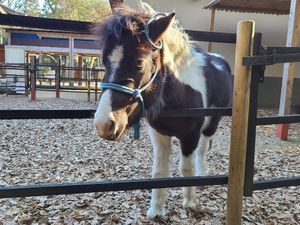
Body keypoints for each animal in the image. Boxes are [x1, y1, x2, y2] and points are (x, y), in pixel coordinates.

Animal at [94, 2, 232, 219]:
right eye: (104, 61)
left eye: (139, 63)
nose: (104, 125)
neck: (178, 96)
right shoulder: (159, 135)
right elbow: (159, 172)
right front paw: (156, 210)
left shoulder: (190, 137)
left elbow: (186, 169)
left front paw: (190, 203)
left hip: (211, 125)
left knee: (202, 151)